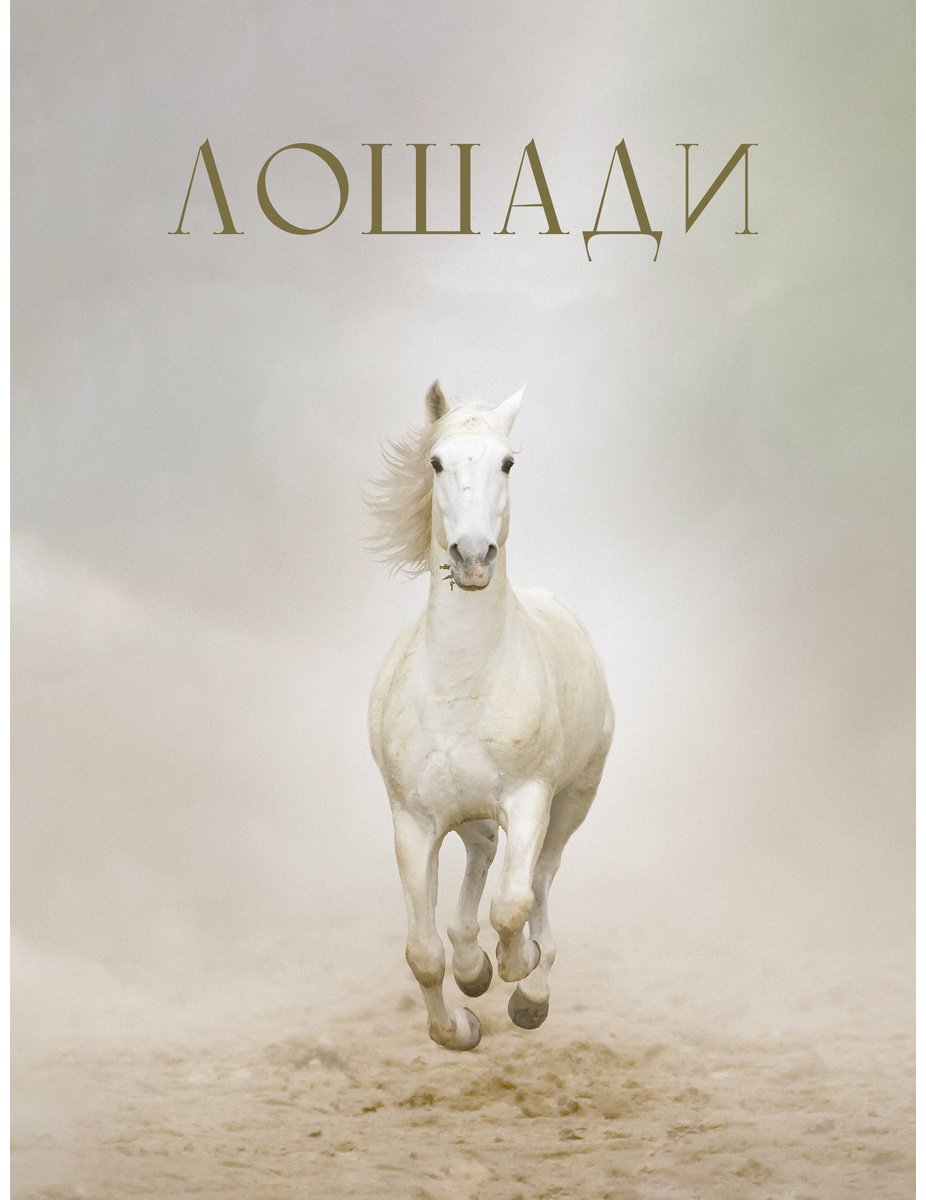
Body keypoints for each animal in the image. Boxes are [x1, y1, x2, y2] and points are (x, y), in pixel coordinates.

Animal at [367, 381, 614, 1051]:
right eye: (435, 462)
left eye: (507, 463)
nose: (473, 556)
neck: (462, 686)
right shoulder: (413, 822)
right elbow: (423, 954)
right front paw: (460, 1023)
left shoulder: (529, 799)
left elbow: (513, 906)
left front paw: (517, 970)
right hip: (469, 814)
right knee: (479, 859)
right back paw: (474, 966)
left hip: (572, 801)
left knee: (541, 880)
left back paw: (530, 987)